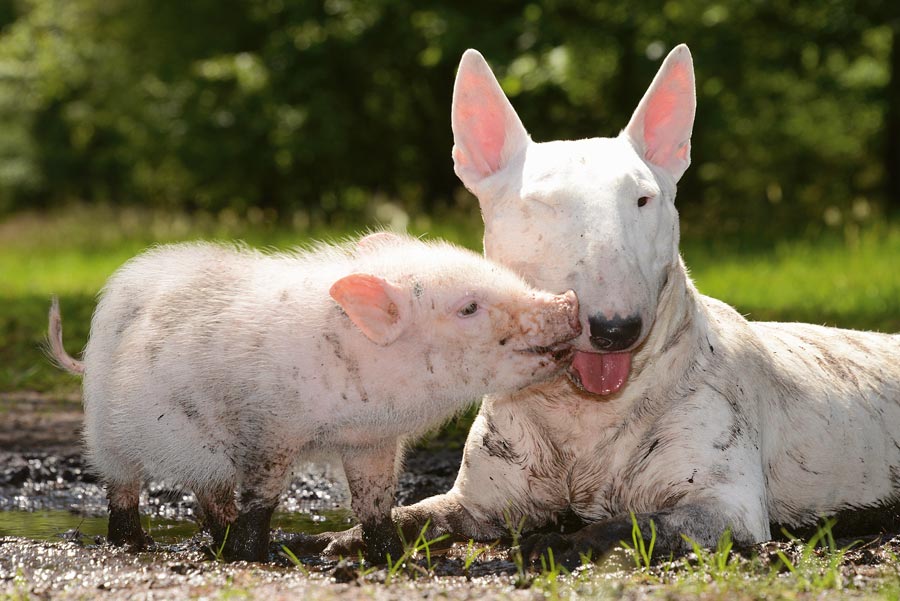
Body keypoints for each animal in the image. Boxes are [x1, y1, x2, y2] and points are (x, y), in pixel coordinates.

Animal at [304, 45, 900, 564]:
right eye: (544, 203)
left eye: (642, 199)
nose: (617, 329)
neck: (581, 416)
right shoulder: (480, 501)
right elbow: (421, 513)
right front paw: (355, 535)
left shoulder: (723, 507)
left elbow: (629, 522)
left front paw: (559, 541)